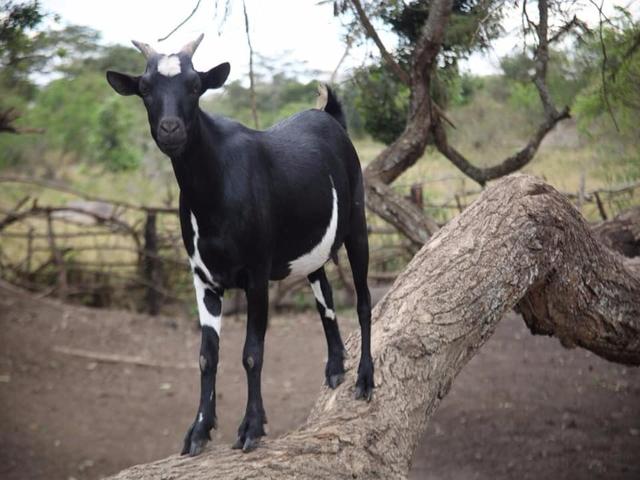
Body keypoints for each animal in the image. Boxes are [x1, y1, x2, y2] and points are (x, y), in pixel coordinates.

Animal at [106, 34, 374, 456]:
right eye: (145, 89)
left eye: (195, 86)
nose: (170, 129)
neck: (215, 189)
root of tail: (329, 116)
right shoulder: (202, 278)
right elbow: (206, 356)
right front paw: (199, 430)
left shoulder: (256, 273)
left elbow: (251, 353)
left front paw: (251, 427)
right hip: (312, 247)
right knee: (326, 296)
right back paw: (335, 368)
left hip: (357, 224)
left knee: (363, 300)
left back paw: (364, 379)